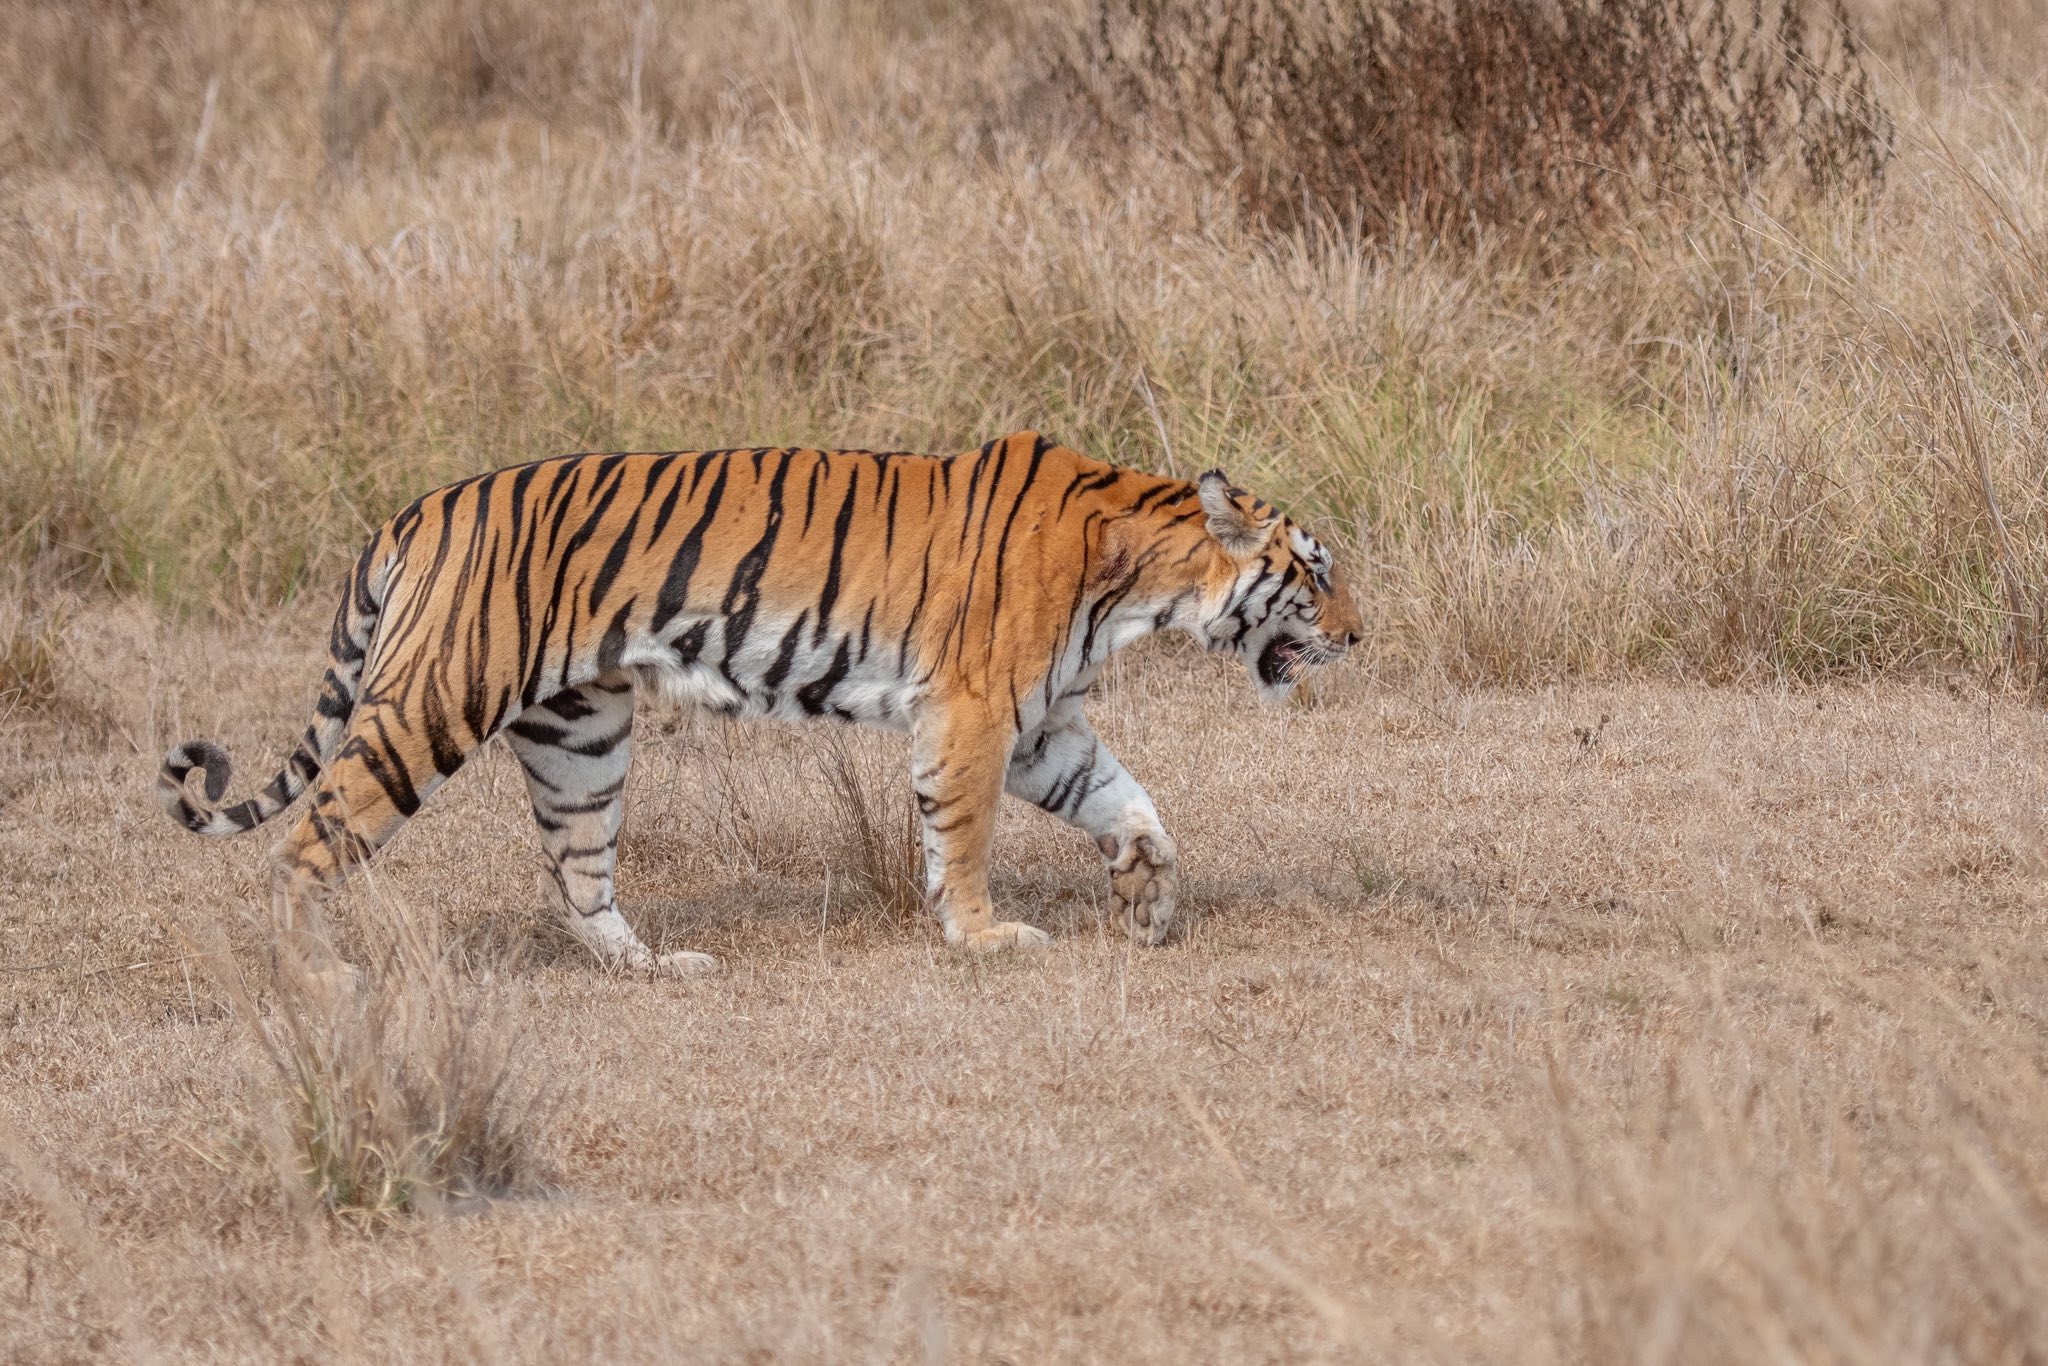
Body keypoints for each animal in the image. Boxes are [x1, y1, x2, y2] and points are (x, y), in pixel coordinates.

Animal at [157, 431, 1361, 980]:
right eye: (1318, 572)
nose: (1358, 635)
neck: (1140, 579)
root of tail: (412, 510)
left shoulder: (1040, 725)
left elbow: (1130, 802)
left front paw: (1147, 897)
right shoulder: (972, 713)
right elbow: (963, 835)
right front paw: (981, 935)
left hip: (579, 734)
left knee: (577, 870)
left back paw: (653, 968)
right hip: (430, 707)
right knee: (309, 838)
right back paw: (314, 970)